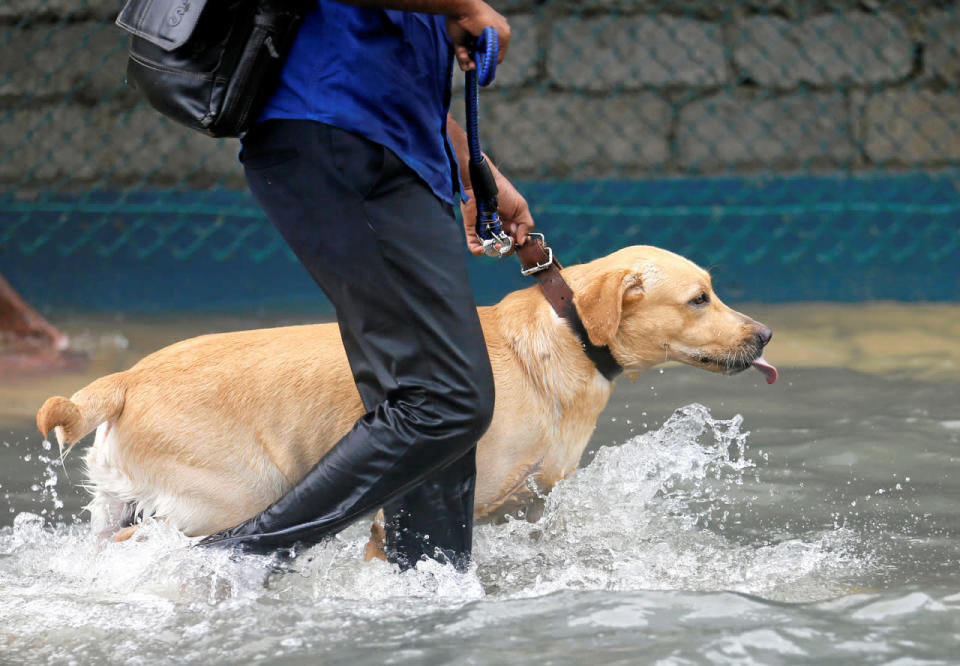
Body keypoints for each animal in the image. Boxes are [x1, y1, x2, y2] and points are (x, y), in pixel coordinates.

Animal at [33, 246, 776, 552]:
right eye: (699, 299)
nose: (765, 334)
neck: (561, 342)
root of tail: (126, 379)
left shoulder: (529, 503)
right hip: (233, 496)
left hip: (125, 498)